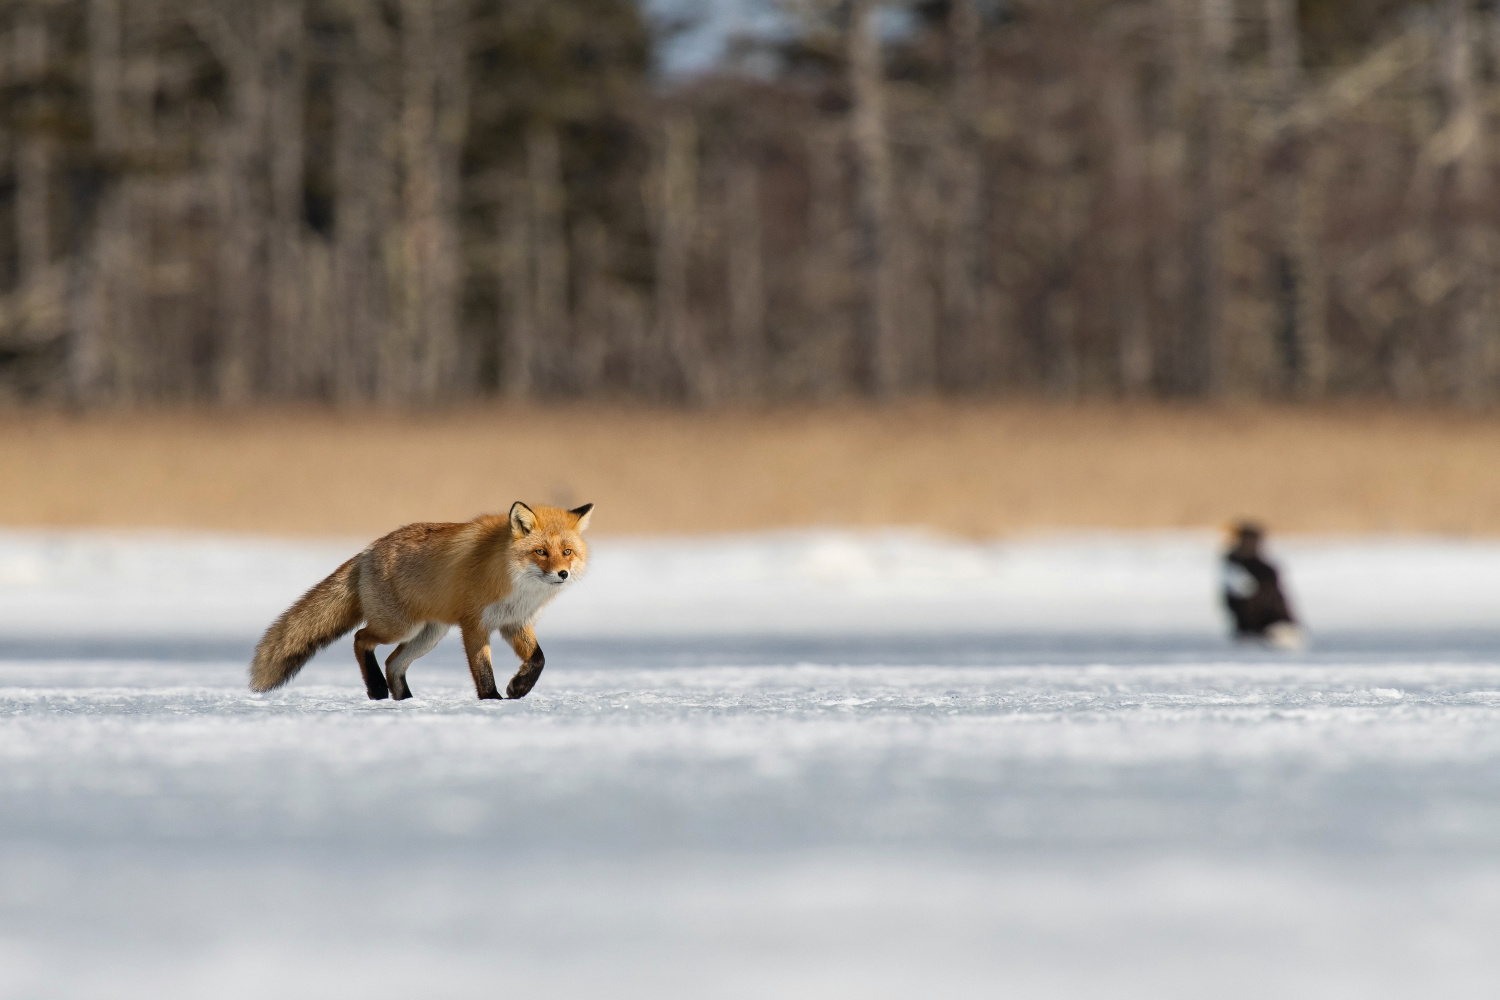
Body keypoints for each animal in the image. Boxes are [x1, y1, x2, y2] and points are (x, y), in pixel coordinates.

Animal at [250, 500, 591, 704]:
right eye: (541, 552)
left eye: (567, 552)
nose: (562, 573)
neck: (514, 582)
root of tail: (368, 550)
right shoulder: (475, 625)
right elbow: (483, 669)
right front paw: (492, 699)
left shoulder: (514, 622)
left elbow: (539, 660)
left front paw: (518, 688)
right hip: (399, 627)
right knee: (361, 639)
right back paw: (377, 689)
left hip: (428, 635)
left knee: (393, 662)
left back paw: (406, 701)